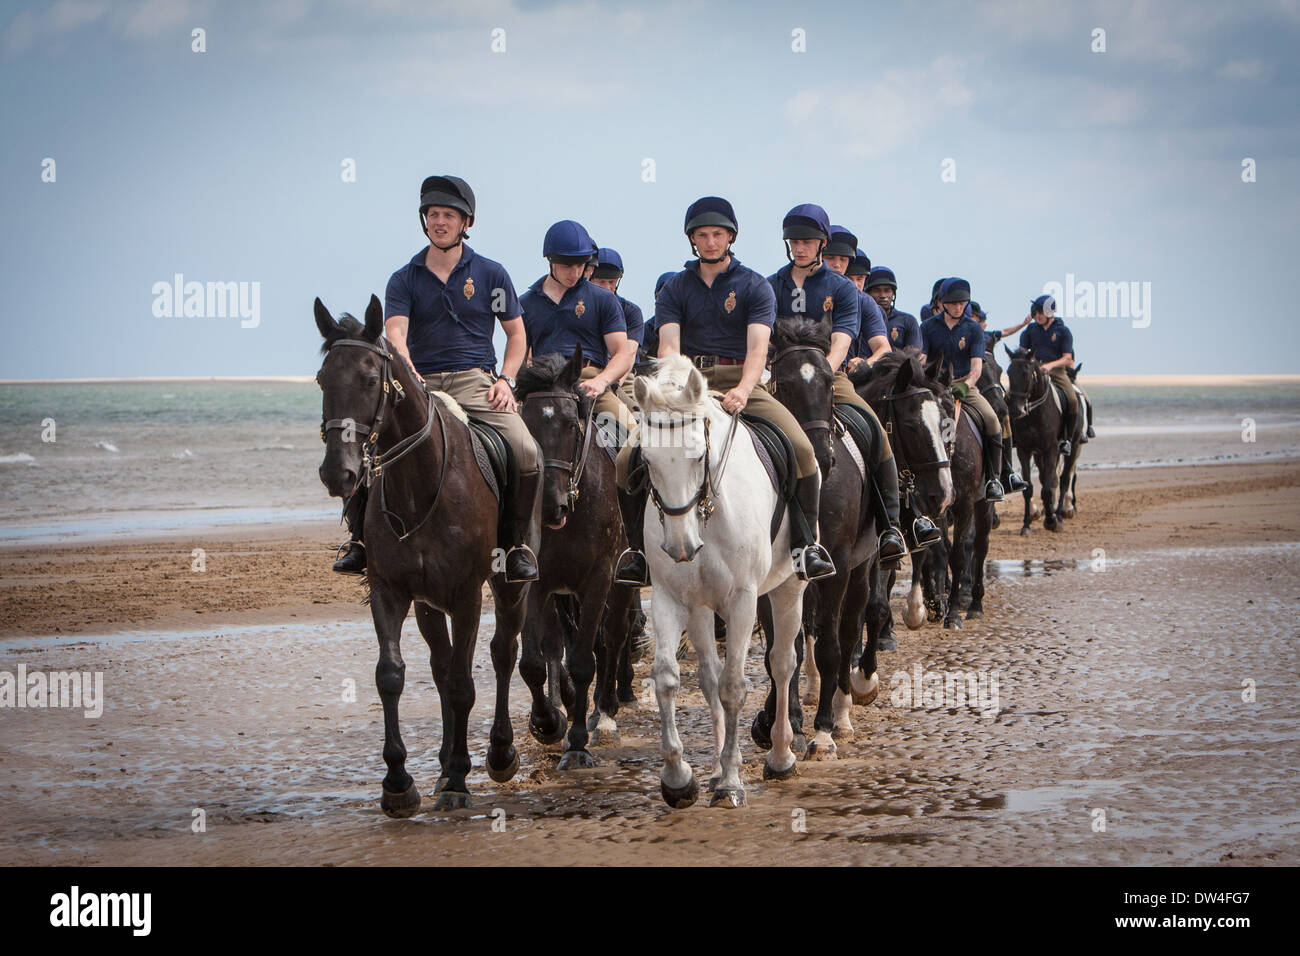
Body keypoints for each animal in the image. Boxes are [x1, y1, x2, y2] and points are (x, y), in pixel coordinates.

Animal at [314, 296, 527, 815]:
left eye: (371, 379)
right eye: (323, 380)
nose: (337, 473)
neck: (421, 482)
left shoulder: (467, 596)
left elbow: (464, 685)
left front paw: (459, 781)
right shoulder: (390, 591)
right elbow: (392, 676)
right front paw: (399, 783)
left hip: (507, 587)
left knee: (502, 652)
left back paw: (499, 753)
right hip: (430, 604)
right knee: (441, 664)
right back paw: (447, 763)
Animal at [515, 348, 637, 768]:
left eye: (571, 424)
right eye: (527, 423)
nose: (550, 505)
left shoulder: (599, 580)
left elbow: (585, 660)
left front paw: (579, 741)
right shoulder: (539, 583)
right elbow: (535, 661)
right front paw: (548, 722)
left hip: (620, 584)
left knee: (613, 638)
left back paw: (606, 713)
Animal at [632, 355, 807, 808]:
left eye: (698, 457)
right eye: (646, 460)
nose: (680, 547)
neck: (705, 516)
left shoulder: (743, 600)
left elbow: (733, 686)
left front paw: (731, 781)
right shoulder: (671, 598)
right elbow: (668, 678)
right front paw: (679, 778)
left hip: (788, 588)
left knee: (783, 663)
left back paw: (781, 757)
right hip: (699, 608)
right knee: (709, 676)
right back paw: (713, 768)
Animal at [754, 317, 881, 760]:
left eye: (828, 381)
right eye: (786, 383)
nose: (821, 456)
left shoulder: (837, 565)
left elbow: (829, 646)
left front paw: (822, 732)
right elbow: (782, 648)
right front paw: (781, 721)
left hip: (861, 570)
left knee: (849, 630)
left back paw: (842, 713)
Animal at [1005, 347, 1084, 534]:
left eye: (1026, 374)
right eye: (1009, 373)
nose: (1015, 410)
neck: (1035, 412)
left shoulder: (1051, 449)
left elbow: (1049, 488)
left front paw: (1051, 521)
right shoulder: (1025, 451)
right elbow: (1029, 488)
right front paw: (1026, 525)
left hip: (1073, 447)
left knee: (1064, 479)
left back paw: (1060, 514)